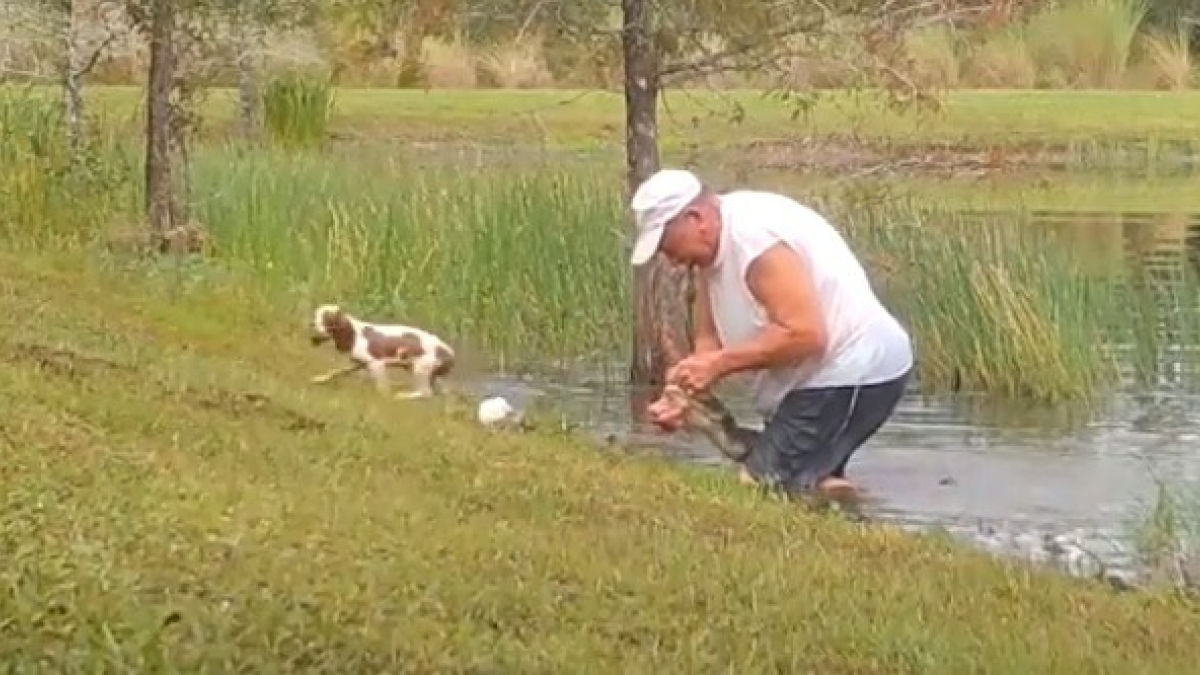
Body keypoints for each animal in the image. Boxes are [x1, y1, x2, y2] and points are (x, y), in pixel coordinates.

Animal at [307, 302, 456, 396]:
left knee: (426, 393)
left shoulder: (376, 363)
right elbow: (337, 372)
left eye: (326, 318)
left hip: (420, 369)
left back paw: (401, 396)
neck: (354, 333)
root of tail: (449, 352)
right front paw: (320, 379)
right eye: (315, 314)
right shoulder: (360, 363)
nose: (312, 323)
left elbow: (382, 388)